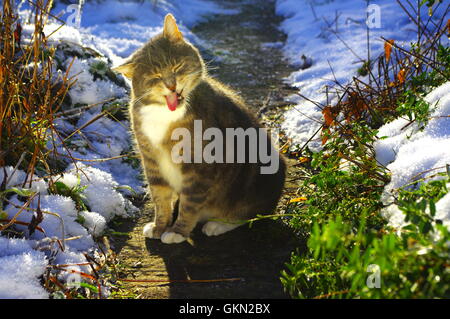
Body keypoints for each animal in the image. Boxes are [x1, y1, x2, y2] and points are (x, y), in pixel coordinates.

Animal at [114, 13, 286, 245]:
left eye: (176, 66)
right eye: (156, 77)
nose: (171, 85)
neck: (165, 114)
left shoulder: (199, 166)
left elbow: (190, 203)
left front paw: (178, 231)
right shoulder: (151, 161)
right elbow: (160, 197)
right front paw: (160, 226)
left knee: (252, 214)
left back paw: (218, 224)